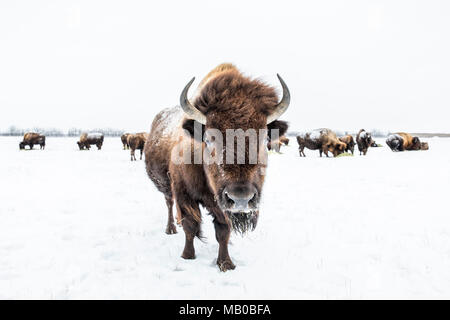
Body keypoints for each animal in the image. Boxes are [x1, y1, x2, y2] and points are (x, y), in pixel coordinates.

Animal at [146, 63, 290, 272]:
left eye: (265, 139)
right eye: (209, 139)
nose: (241, 198)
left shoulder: (222, 206)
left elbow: (223, 231)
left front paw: (226, 263)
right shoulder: (183, 193)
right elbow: (191, 225)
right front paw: (187, 255)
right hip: (166, 187)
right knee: (169, 203)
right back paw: (171, 228)